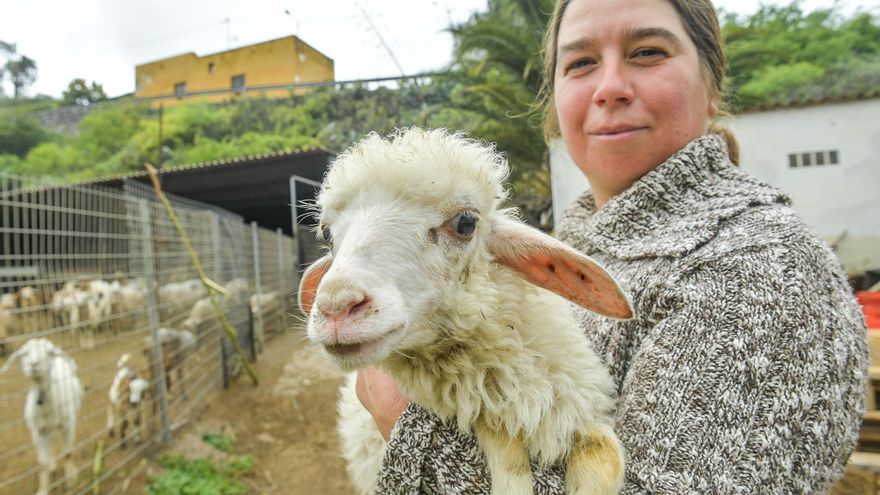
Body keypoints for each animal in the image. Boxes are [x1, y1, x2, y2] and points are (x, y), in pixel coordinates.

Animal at [0, 338, 84, 495]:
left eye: (48, 353)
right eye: (25, 353)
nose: (34, 364)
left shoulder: (68, 423)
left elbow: (68, 453)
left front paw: (71, 479)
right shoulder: (37, 430)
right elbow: (41, 463)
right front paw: (43, 489)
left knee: (67, 447)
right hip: (46, 429)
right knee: (50, 442)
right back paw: (52, 465)